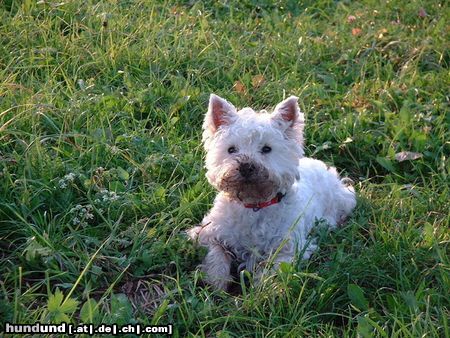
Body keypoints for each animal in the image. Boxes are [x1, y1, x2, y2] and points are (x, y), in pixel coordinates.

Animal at [186, 94, 356, 290]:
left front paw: (260, 291)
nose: (246, 166)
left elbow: (271, 272)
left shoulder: (289, 249)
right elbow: (217, 257)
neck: (254, 204)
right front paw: (216, 285)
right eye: (231, 149)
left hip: (341, 201)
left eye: (267, 149)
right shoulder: (208, 233)